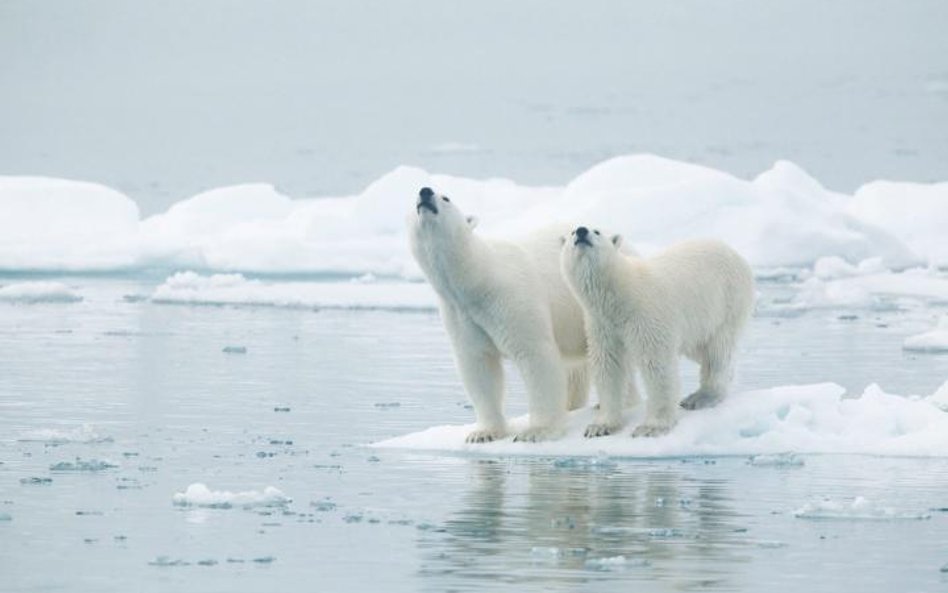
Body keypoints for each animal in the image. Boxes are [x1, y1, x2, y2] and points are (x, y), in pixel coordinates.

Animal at [410, 187, 592, 442]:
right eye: (413, 200)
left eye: (446, 197)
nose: (425, 191)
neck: (480, 279)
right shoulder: (460, 314)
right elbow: (478, 366)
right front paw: (483, 433)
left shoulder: (511, 299)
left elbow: (535, 355)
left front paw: (536, 431)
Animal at [560, 225, 752, 434]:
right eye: (571, 233)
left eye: (596, 231)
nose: (581, 231)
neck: (620, 294)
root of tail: (736, 254)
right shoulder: (603, 325)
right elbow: (608, 366)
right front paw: (600, 426)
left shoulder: (645, 316)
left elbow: (657, 365)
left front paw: (651, 427)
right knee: (700, 349)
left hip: (727, 302)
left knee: (718, 351)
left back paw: (701, 397)